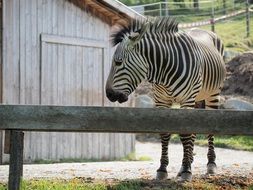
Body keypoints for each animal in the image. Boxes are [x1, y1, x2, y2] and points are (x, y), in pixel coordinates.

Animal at [105, 18, 225, 183]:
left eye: (118, 62)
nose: (108, 94)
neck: (164, 70)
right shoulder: (161, 101)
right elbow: (165, 133)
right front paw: (163, 169)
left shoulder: (186, 100)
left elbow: (185, 135)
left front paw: (187, 171)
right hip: (196, 98)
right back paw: (185, 164)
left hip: (213, 94)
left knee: (209, 129)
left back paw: (211, 164)